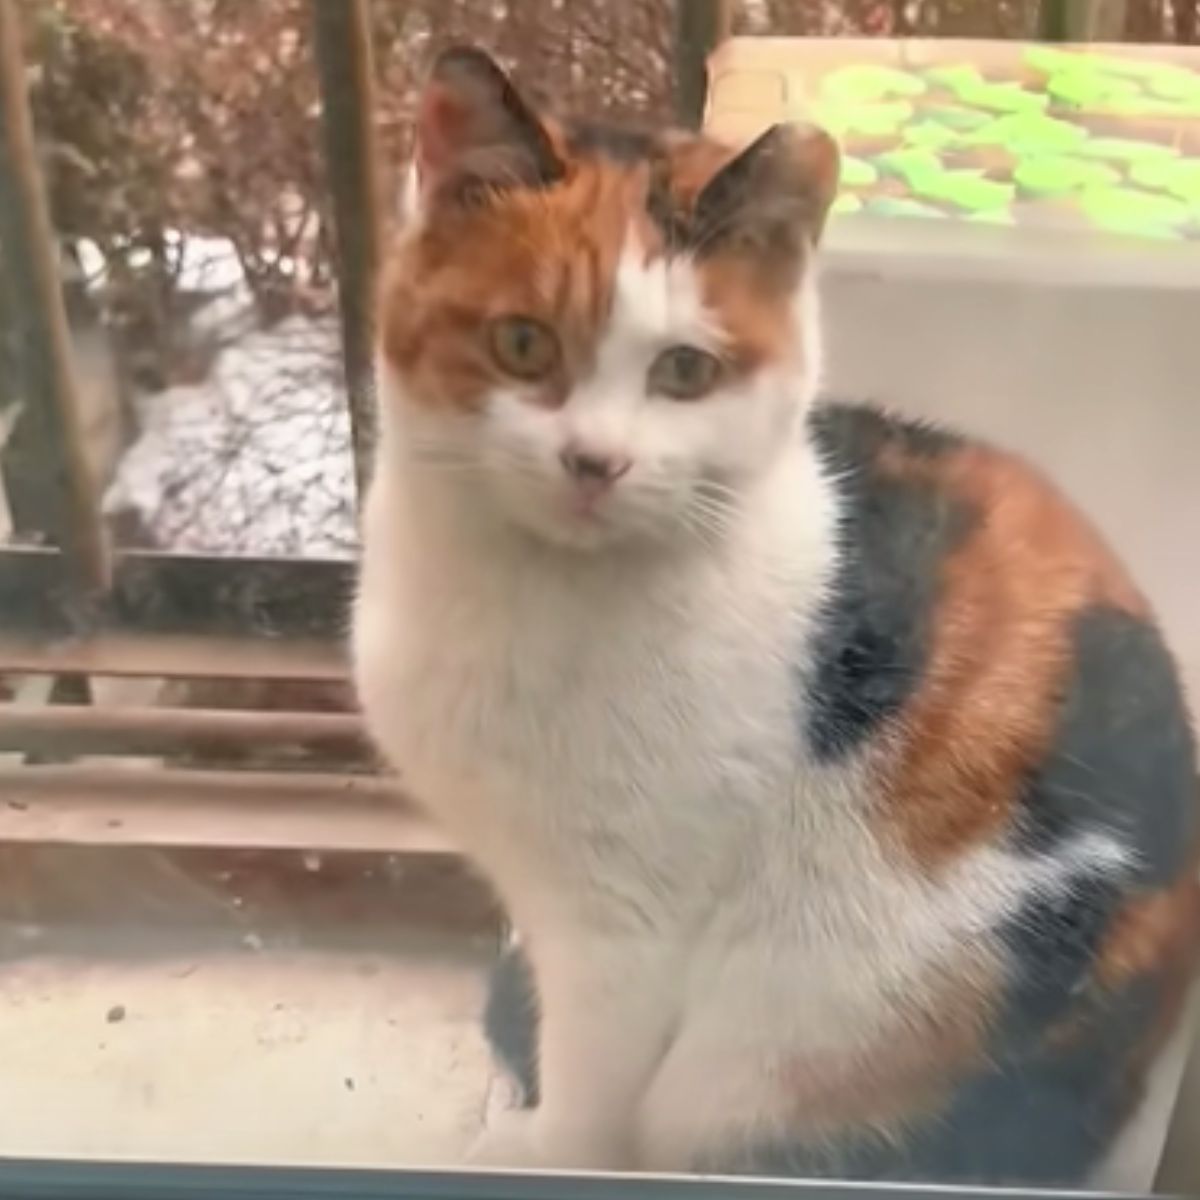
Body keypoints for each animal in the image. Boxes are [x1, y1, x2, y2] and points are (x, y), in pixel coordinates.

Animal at [350, 44, 1195, 1190]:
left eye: (686, 370)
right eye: (523, 343)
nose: (595, 461)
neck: (525, 592)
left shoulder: (619, 925)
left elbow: (586, 1100)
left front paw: (538, 1148)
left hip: (796, 1052)